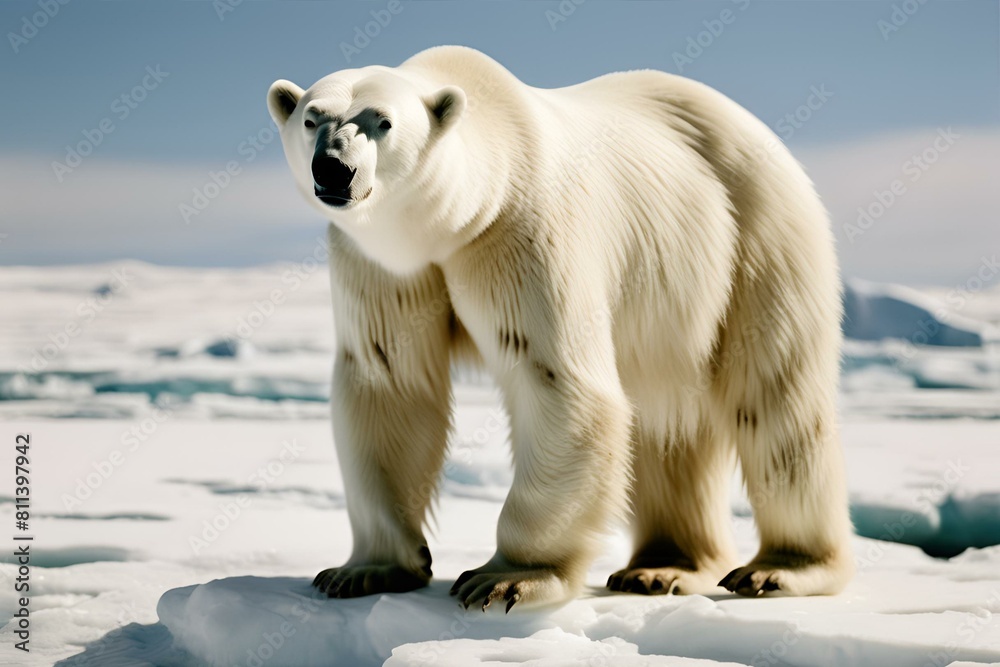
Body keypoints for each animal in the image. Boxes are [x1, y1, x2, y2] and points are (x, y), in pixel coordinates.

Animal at [267, 45, 854, 611]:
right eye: (311, 118)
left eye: (383, 122)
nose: (334, 169)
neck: (459, 215)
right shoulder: (383, 262)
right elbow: (388, 379)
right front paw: (362, 571)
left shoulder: (522, 230)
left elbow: (556, 379)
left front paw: (507, 578)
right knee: (666, 422)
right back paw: (660, 568)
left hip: (757, 239)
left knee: (776, 402)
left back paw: (778, 569)